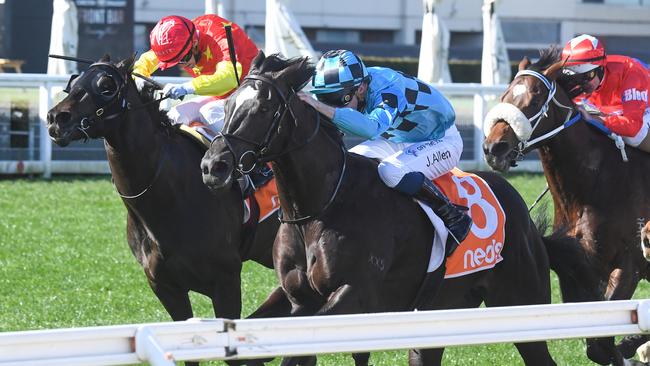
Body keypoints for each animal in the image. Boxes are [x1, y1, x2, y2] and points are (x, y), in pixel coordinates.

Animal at [200, 52, 596, 366]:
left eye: (264, 108)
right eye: (229, 104)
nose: (213, 166)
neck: (317, 207)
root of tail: (523, 215)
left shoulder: (354, 294)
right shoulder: (295, 297)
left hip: (520, 300)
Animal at [480, 47, 648, 364]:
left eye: (533, 101)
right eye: (505, 95)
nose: (493, 148)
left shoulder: (630, 264)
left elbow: (604, 342)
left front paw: (630, 348)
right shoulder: (577, 268)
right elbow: (596, 344)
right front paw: (628, 349)